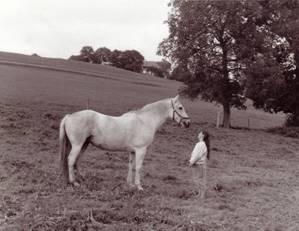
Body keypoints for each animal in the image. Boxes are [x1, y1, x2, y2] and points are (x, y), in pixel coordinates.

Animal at [59, 94, 191, 190]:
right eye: (180, 107)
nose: (188, 123)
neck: (145, 121)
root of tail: (69, 116)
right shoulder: (141, 150)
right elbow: (138, 167)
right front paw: (139, 186)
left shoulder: (132, 151)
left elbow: (131, 166)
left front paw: (130, 184)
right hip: (77, 145)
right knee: (71, 160)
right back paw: (74, 182)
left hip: (84, 144)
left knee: (76, 161)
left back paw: (81, 178)